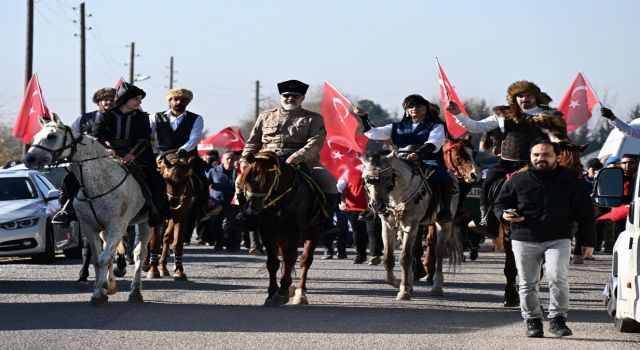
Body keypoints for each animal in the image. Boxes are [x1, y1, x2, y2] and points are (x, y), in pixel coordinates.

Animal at [22, 114, 152, 304]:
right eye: (35, 136)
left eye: (51, 136)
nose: (29, 159)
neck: (99, 184)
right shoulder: (90, 227)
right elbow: (98, 259)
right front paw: (100, 291)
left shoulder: (117, 226)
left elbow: (105, 258)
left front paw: (101, 291)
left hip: (146, 223)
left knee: (139, 254)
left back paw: (135, 292)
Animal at [148, 153, 195, 282]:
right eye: (167, 180)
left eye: (185, 181)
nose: (173, 205)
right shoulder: (157, 216)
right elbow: (154, 242)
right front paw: (153, 270)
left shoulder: (181, 215)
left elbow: (177, 242)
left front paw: (179, 271)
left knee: (167, 237)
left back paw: (163, 266)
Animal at [238, 152, 324, 304]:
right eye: (247, 179)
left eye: (266, 180)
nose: (251, 209)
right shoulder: (268, 232)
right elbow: (273, 262)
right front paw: (272, 294)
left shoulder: (295, 231)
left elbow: (291, 258)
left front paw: (283, 291)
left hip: (313, 232)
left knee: (305, 260)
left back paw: (301, 293)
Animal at [358, 149, 462, 300]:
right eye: (366, 178)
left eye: (387, 177)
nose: (377, 205)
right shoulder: (388, 226)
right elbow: (388, 258)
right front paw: (398, 282)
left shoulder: (411, 225)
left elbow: (405, 257)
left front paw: (404, 291)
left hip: (444, 224)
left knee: (439, 251)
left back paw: (437, 286)